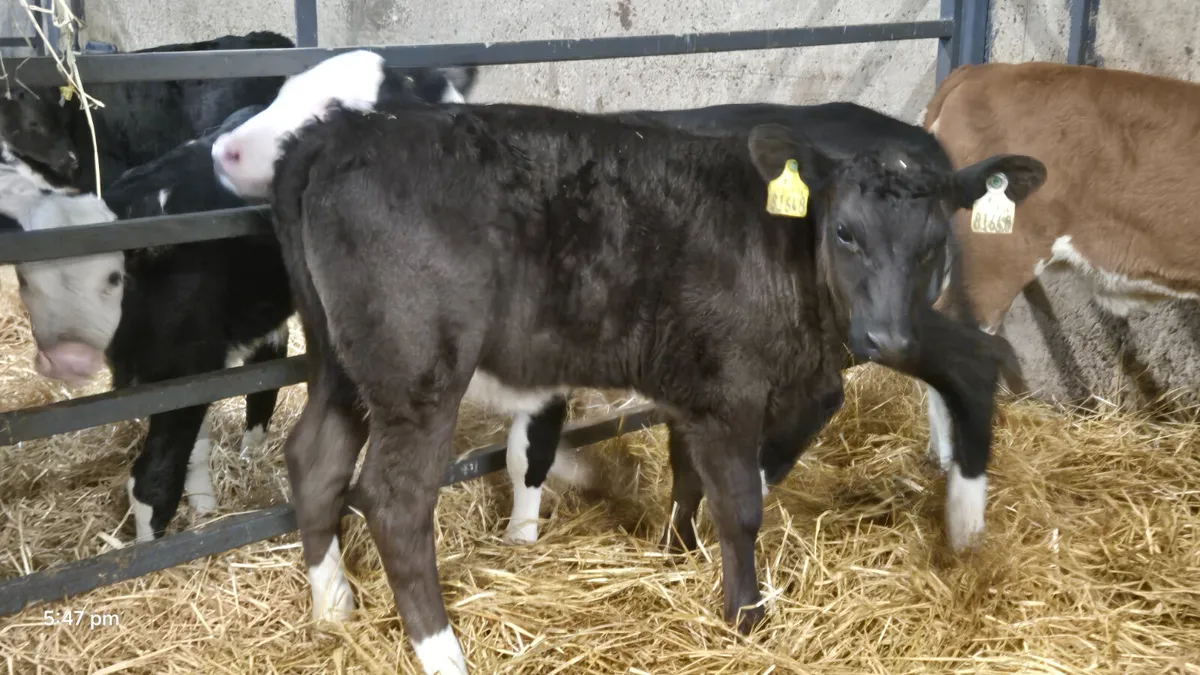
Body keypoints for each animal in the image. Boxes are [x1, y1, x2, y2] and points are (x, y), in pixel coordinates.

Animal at [216, 56, 1046, 671]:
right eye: (844, 231)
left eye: (932, 240)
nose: (884, 335)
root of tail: (334, 137)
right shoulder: (732, 384)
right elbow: (739, 501)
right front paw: (746, 616)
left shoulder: (695, 378)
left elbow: (689, 474)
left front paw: (679, 557)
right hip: (417, 371)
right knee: (391, 498)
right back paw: (441, 651)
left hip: (340, 361)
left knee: (315, 459)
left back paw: (333, 606)